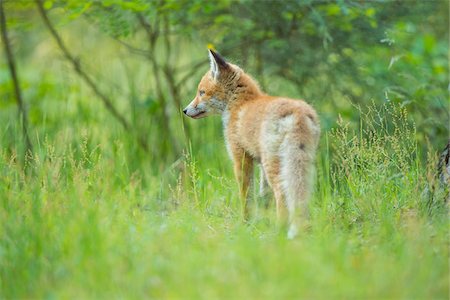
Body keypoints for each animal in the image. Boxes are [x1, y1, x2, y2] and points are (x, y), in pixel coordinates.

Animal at [183, 49, 320, 238]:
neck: (240, 104)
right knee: (301, 194)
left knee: (282, 193)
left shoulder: (241, 157)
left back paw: (281, 231)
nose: (184, 110)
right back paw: (303, 230)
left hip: (274, 164)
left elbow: (246, 197)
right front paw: (262, 223)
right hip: (301, 163)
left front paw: (245, 224)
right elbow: (264, 198)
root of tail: (298, 112)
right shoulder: (259, 163)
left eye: (201, 92)